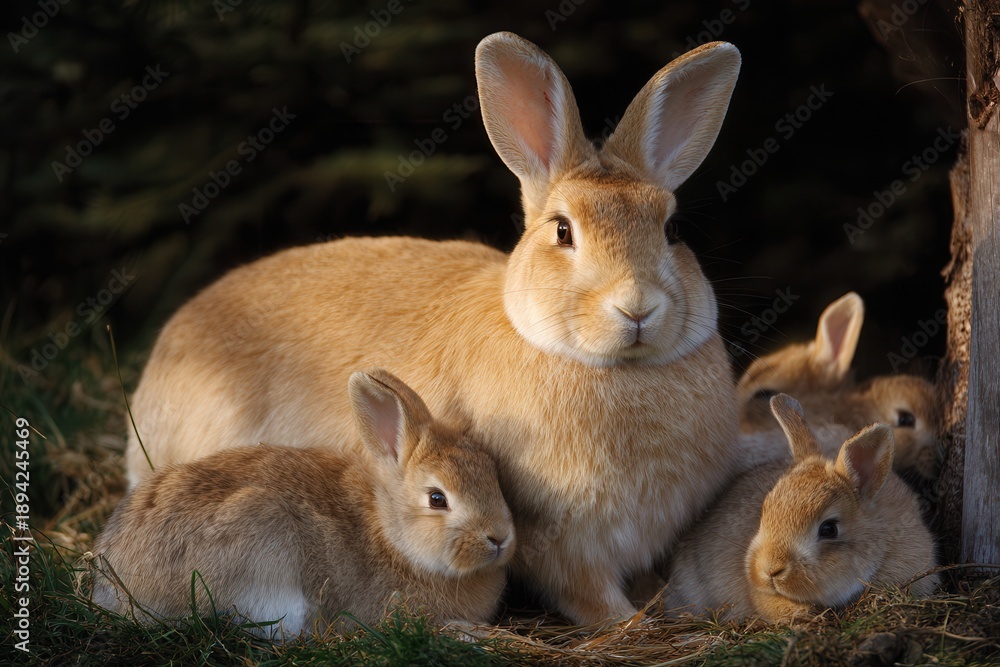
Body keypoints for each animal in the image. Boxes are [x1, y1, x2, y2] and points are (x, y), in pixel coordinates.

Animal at [91, 369, 514, 636]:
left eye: (492, 475)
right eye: (437, 498)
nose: (499, 538)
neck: (391, 535)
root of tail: (117, 586)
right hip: (264, 544)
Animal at [122, 32, 743, 626]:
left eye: (671, 230)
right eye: (563, 230)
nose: (637, 307)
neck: (611, 368)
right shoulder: (560, 543)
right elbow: (589, 595)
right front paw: (631, 623)